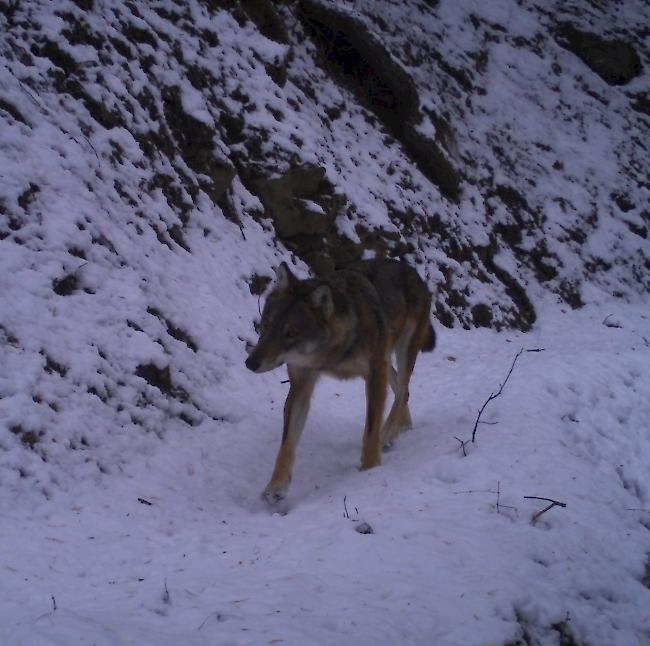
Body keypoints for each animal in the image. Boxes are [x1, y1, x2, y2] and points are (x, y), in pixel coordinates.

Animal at [245, 258, 435, 504]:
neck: (333, 352)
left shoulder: (374, 374)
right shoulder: (300, 386)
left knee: (402, 392)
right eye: (266, 325)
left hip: (402, 352)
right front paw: (275, 487)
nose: (250, 363)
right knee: (402, 391)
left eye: (291, 333)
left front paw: (370, 471)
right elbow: (286, 444)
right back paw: (403, 427)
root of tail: (413, 272)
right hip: (386, 361)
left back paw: (388, 435)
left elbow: (370, 429)